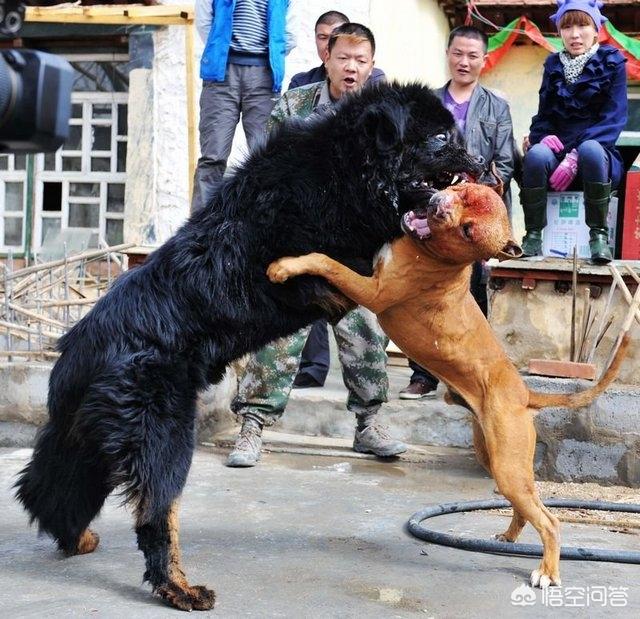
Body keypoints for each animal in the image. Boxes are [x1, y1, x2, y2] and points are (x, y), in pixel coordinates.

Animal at [13, 81, 480, 612]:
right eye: (441, 137)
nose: (482, 160)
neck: (342, 170)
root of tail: (77, 353)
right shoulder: (339, 271)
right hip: (164, 432)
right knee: (154, 514)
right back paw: (178, 588)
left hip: (86, 438)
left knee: (48, 488)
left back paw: (77, 538)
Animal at [266, 183, 632, 592]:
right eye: (463, 190)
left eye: (468, 231)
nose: (439, 204)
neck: (433, 254)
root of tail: (525, 394)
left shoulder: (373, 291)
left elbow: (327, 262)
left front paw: (285, 265)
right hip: (497, 460)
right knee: (530, 505)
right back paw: (509, 536)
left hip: (507, 467)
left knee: (550, 519)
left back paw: (547, 571)